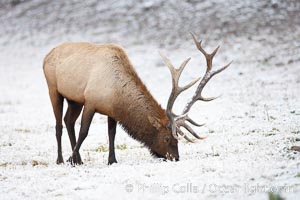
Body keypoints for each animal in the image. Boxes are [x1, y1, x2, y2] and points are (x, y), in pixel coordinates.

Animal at [43, 32, 231, 164]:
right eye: (167, 138)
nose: (175, 157)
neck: (116, 95)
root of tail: (46, 55)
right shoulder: (90, 101)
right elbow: (84, 131)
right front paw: (70, 159)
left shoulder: (111, 111)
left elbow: (112, 133)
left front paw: (112, 160)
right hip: (53, 89)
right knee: (59, 124)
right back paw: (61, 159)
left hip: (74, 100)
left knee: (68, 121)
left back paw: (78, 160)